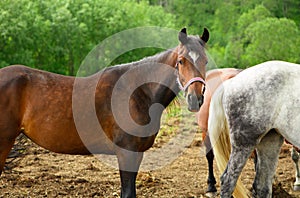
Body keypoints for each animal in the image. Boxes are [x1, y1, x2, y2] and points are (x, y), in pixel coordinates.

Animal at [0, 27, 210, 198]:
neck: (137, 92)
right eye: (181, 61)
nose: (195, 99)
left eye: (205, 61)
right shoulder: (126, 152)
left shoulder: (137, 154)